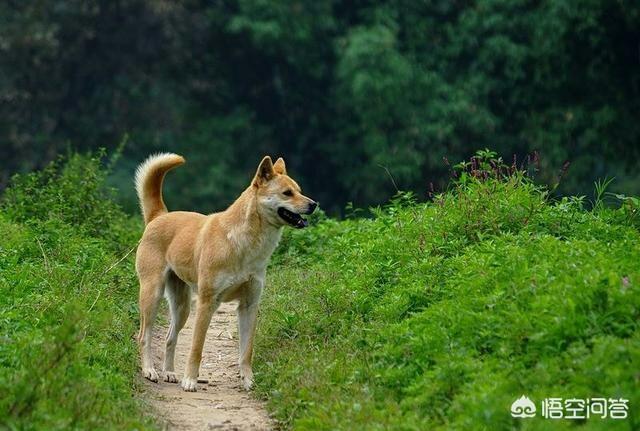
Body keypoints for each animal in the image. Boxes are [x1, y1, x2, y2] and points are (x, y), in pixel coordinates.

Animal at [134, 155, 316, 392]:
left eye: (299, 190)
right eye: (287, 193)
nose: (314, 204)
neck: (243, 243)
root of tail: (159, 216)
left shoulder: (249, 305)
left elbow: (246, 351)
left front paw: (248, 381)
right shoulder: (207, 303)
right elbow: (196, 348)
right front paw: (190, 380)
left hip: (182, 307)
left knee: (169, 338)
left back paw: (170, 373)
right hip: (152, 295)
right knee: (144, 336)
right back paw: (149, 370)